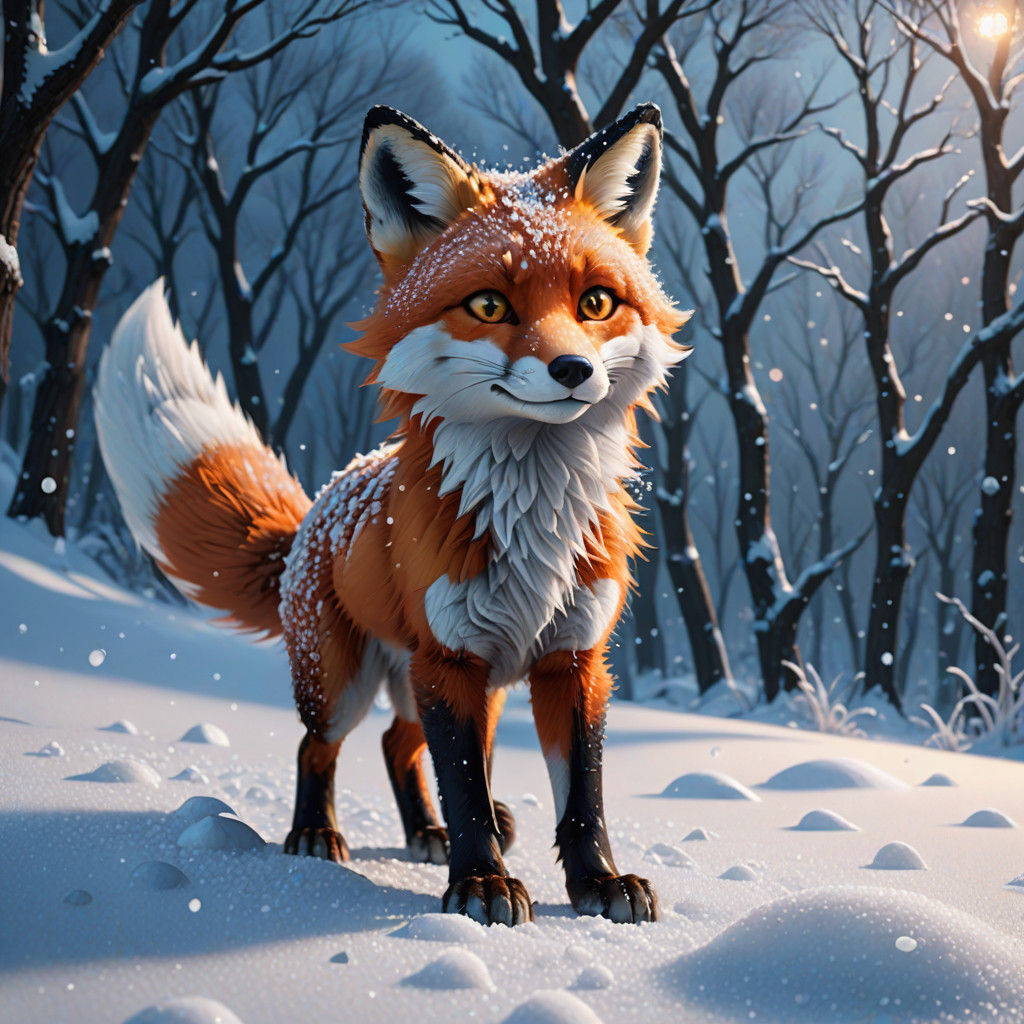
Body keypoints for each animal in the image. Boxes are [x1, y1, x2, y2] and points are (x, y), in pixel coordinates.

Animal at [94, 102, 692, 927]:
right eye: (489, 305)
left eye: (596, 302)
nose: (573, 371)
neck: (532, 523)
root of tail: (319, 506)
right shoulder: (451, 660)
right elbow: (464, 784)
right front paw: (483, 886)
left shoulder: (573, 660)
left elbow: (583, 797)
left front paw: (598, 884)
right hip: (345, 680)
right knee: (324, 747)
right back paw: (317, 834)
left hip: (453, 683)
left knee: (398, 747)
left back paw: (425, 834)